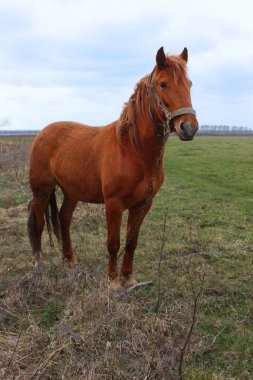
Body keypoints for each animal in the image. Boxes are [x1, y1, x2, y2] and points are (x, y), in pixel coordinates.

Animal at [27, 48, 198, 290]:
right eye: (163, 84)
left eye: (189, 84)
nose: (188, 127)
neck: (132, 149)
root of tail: (43, 132)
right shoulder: (114, 204)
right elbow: (113, 243)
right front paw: (113, 282)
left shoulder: (142, 205)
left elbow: (131, 242)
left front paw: (128, 278)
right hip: (41, 191)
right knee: (38, 223)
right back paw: (38, 266)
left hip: (71, 192)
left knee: (63, 218)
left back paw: (69, 259)